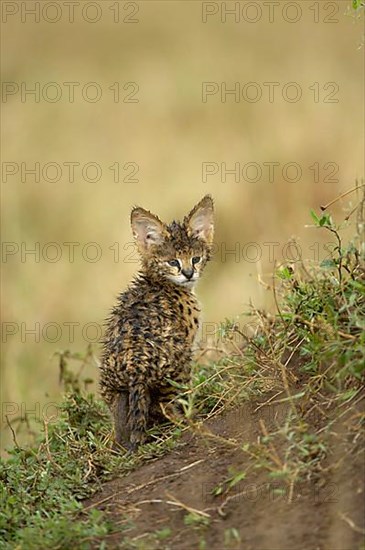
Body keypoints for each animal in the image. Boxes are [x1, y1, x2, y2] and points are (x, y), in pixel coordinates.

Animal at [99, 196, 213, 450]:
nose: (189, 273)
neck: (160, 282)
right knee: (168, 403)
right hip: (177, 363)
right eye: (173, 262)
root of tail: (135, 370)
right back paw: (190, 420)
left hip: (111, 388)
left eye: (196, 258)